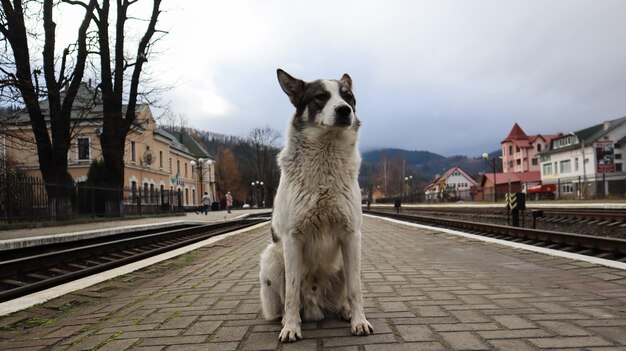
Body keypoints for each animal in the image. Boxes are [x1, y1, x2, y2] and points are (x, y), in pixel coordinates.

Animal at [258, 69, 370, 344]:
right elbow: (291, 292)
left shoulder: (351, 236)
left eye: (348, 97)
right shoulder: (292, 238)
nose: (344, 111)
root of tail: (315, 307)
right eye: (320, 97)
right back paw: (286, 319)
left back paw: (345, 311)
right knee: (287, 300)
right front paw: (290, 327)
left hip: (344, 262)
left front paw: (359, 321)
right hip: (272, 260)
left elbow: (356, 288)